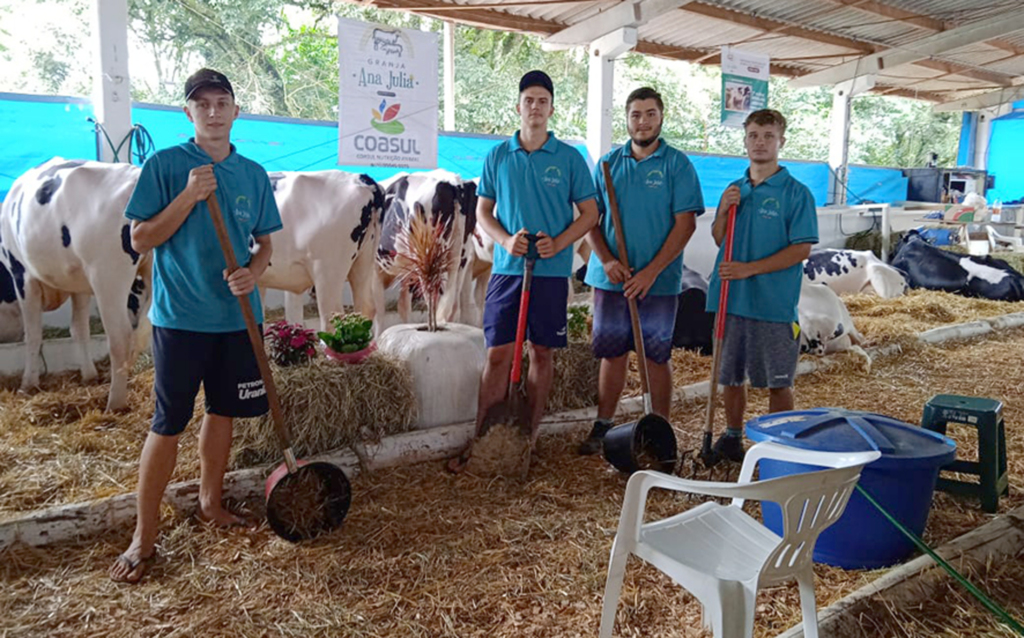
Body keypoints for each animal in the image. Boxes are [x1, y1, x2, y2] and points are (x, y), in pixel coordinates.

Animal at [0, 157, 151, 411]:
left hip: (108, 275)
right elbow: (79, 329)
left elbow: (33, 334)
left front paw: (28, 383)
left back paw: (114, 403)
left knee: (119, 337)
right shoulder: (78, 283)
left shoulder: (22, 274)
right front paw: (89, 374)